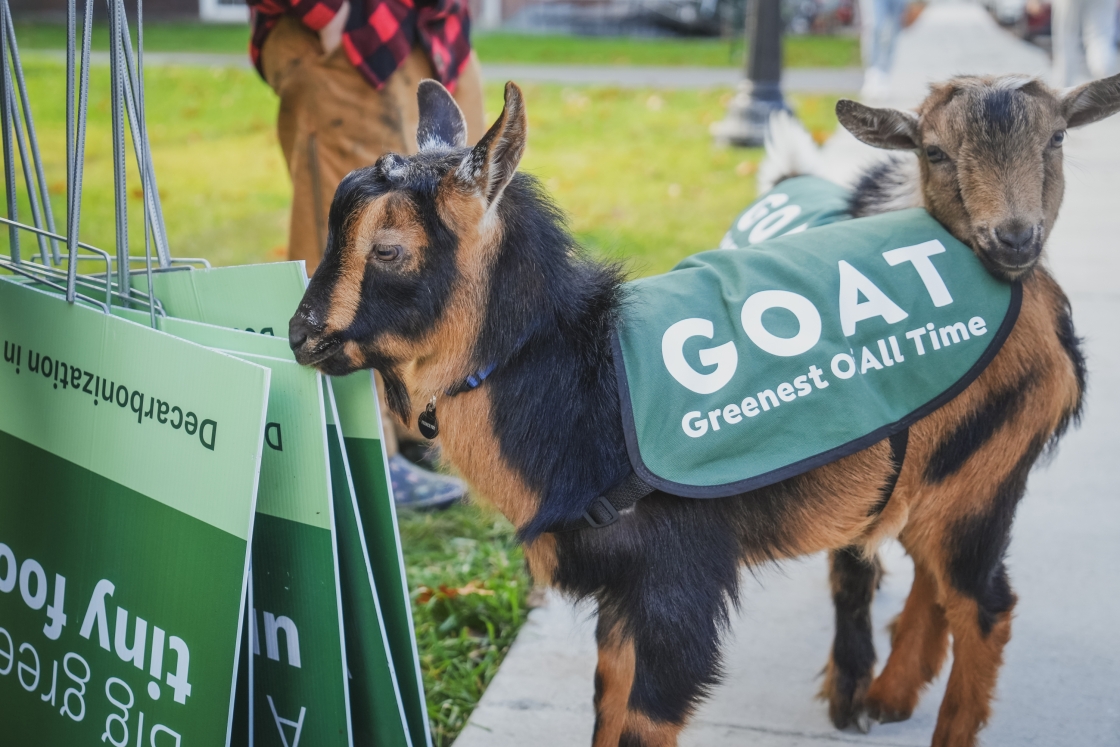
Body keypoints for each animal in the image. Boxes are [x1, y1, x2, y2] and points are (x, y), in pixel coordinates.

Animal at [288, 71, 1120, 747]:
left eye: (390, 249)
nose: (301, 336)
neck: (584, 386)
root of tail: (1035, 288)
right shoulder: (623, 596)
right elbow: (606, 703)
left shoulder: (676, 583)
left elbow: (643, 717)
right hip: (939, 474)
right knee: (934, 574)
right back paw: (886, 694)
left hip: (987, 470)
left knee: (986, 601)